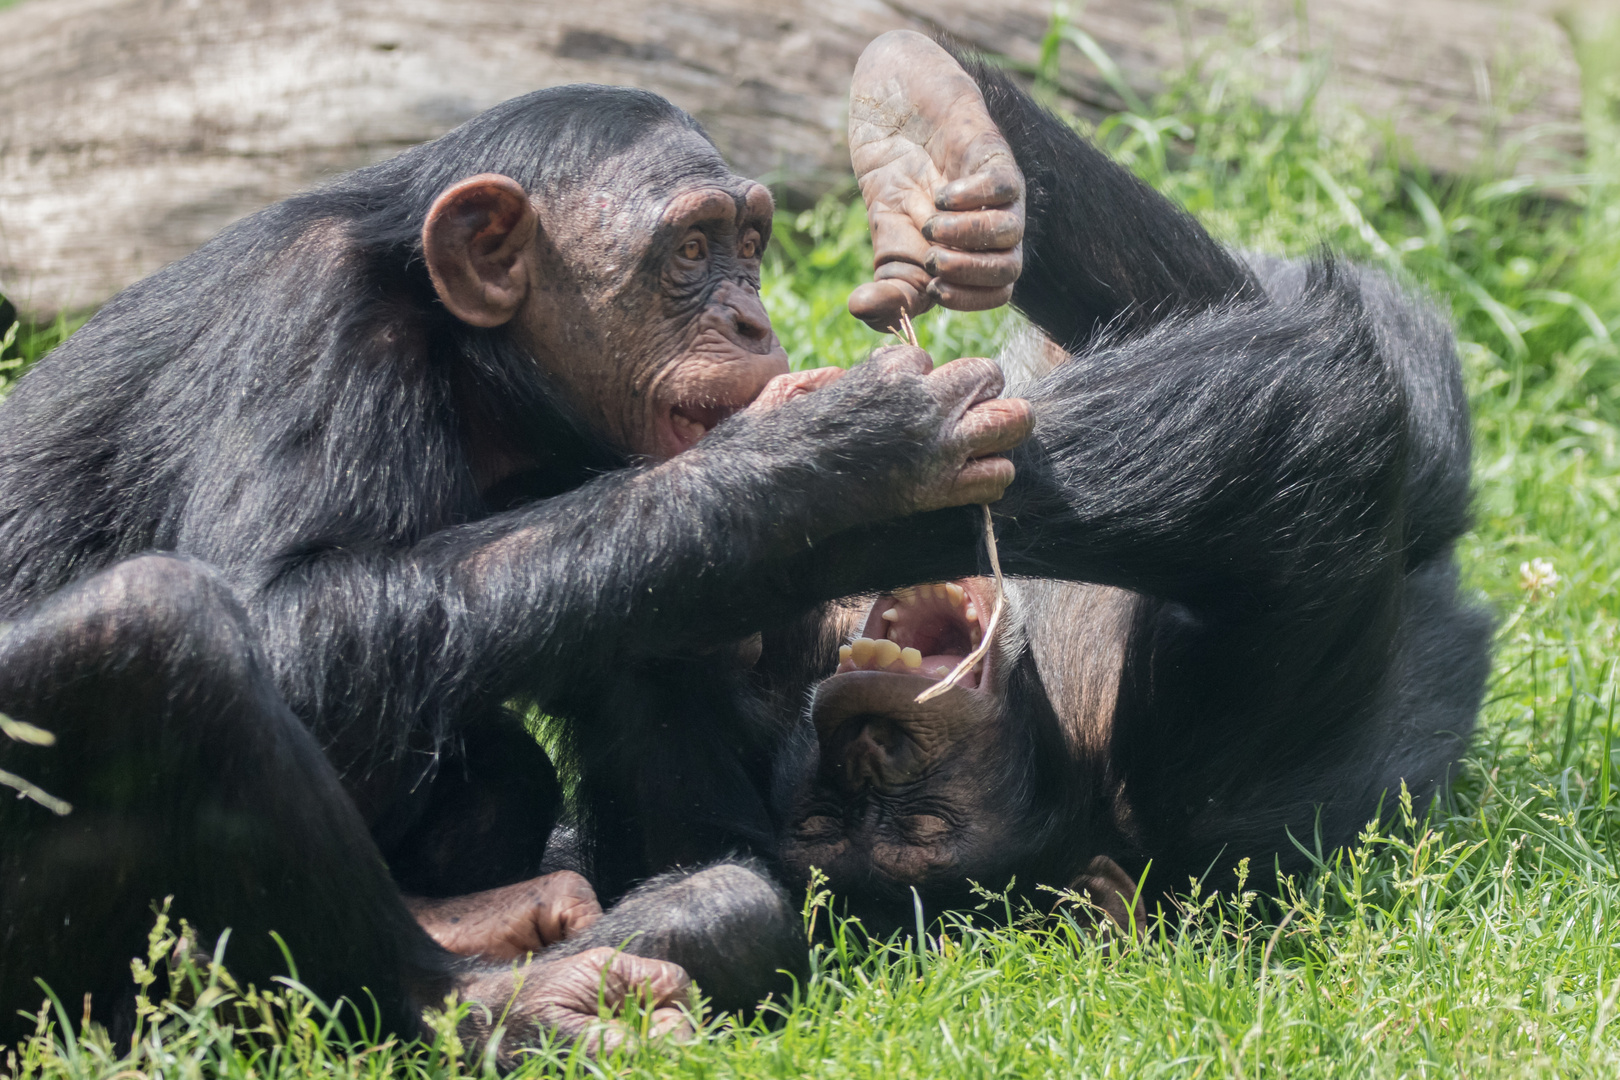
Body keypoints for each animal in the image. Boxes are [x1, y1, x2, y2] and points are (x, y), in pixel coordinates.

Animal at [771, 33, 1490, 932]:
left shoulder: (1184, 764)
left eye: (921, 817)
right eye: (832, 812)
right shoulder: (1194, 775)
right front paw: (875, 464)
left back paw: (927, 116)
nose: (870, 739)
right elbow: (1318, 442)